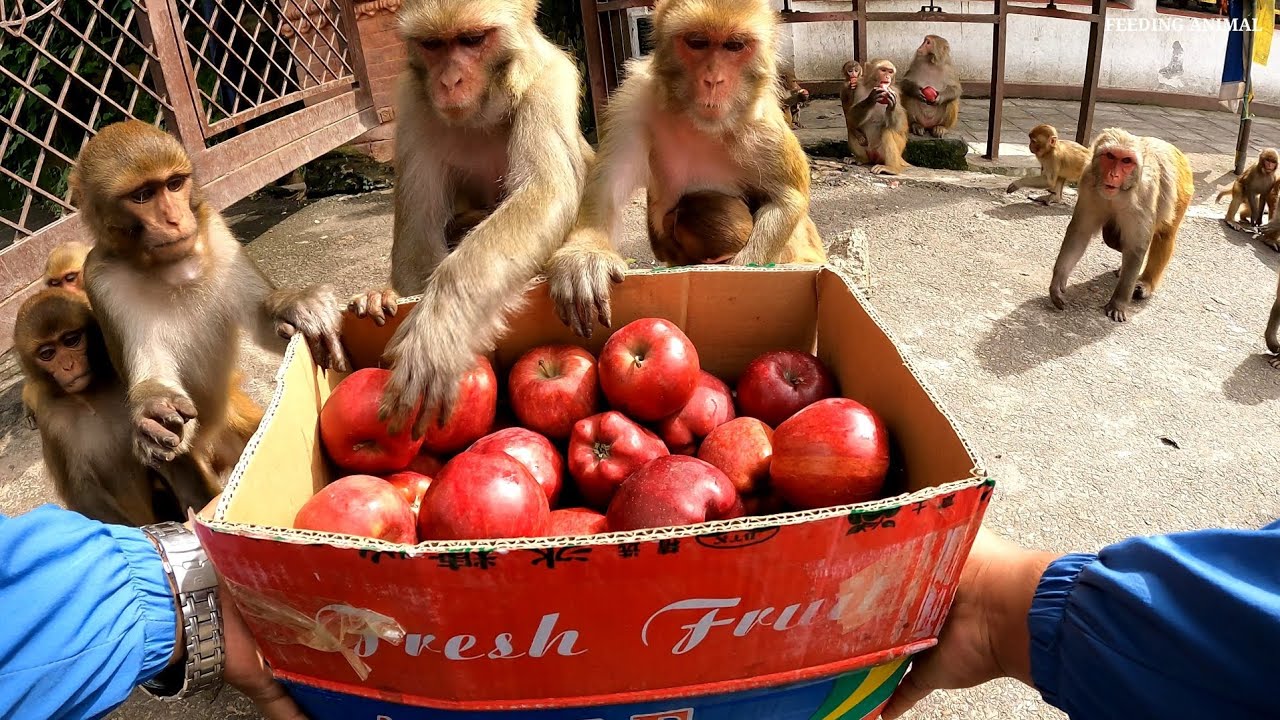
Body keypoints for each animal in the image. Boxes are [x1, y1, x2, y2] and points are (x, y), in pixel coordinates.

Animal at [14, 288, 187, 526]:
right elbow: (85, 494)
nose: (68, 366)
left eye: (71, 340)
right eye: (47, 353)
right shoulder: (51, 420)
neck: (89, 397)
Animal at [71, 120, 346, 509]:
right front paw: (153, 407)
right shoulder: (102, 283)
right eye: (142, 196)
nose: (175, 219)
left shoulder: (215, 230)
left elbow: (263, 322)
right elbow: (155, 381)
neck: (172, 269)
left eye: (174, 184)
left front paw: (301, 306)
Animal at [346, 0, 593, 439]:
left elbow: (546, 192)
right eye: (432, 45)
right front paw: (400, 300)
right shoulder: (413, 104)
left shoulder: (548, 81)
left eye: (473, 39)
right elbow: (419, 230)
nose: (449, 80)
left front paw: (439, 328)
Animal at [546, 0, 827, 339]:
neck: (699, 123)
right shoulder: (633, 102)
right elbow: (607, 184)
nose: (713, 80)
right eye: (697, 42)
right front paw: (585, 256)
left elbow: (789, 197)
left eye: (734, 46)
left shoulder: (762, 123)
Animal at [1049, 128, 1194, 323]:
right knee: (1111, 237)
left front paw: (1118, 304)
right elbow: (1080, 232)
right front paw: (1057, 282)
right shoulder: (1088, 184)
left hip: (1183, 193)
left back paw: (1145, 283)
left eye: (1126, 161)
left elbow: (1136, 248)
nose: (1114, 175)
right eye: (1110, 156)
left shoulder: (1144, 195)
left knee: (1164, 236)